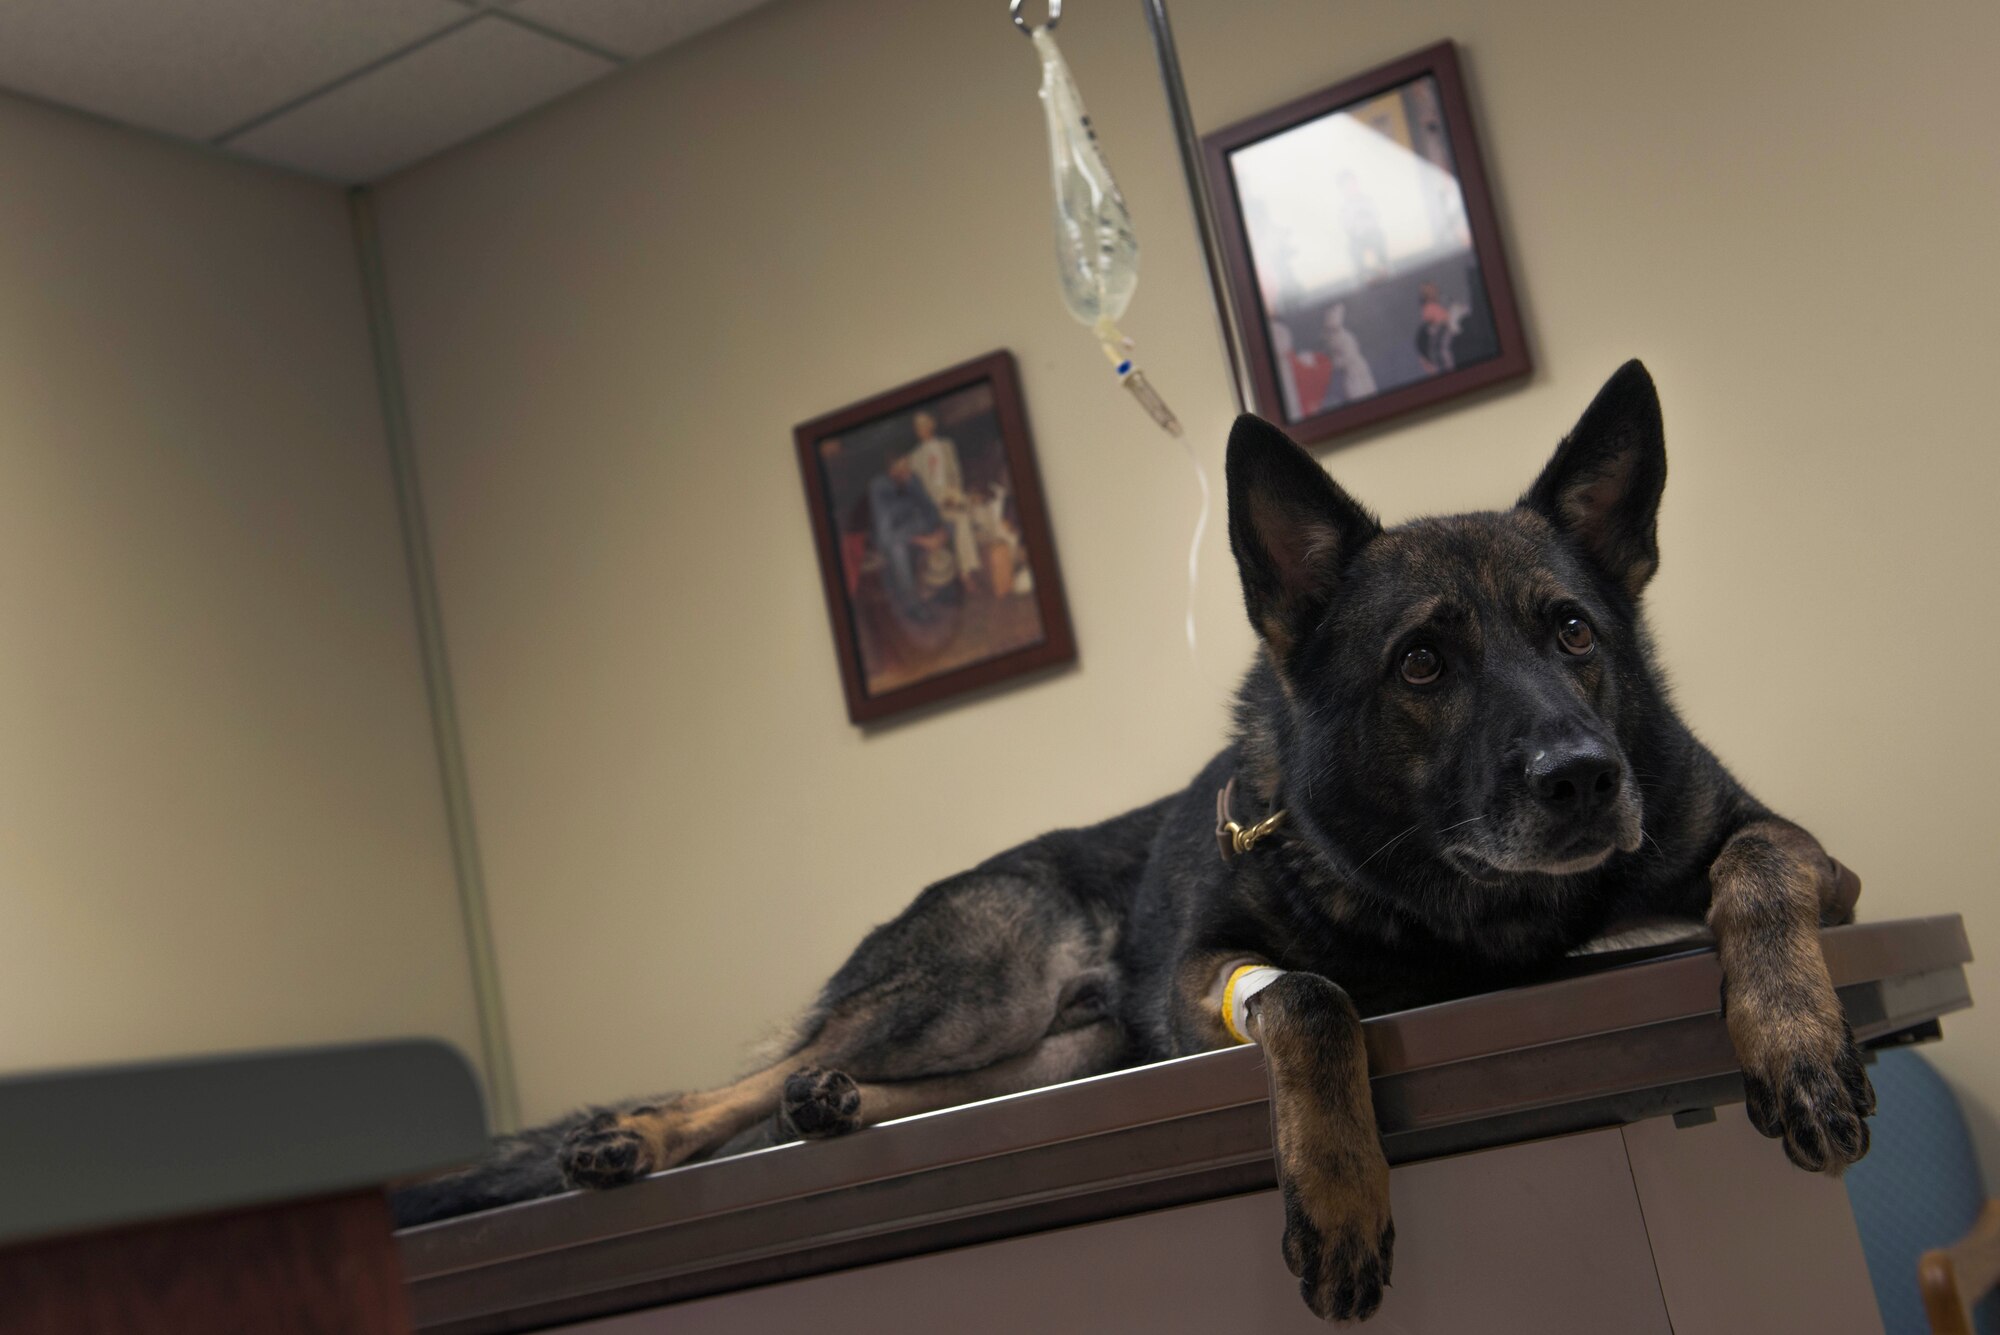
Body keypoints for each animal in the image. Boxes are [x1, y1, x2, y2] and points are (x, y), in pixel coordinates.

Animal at [394, 365, 1872, 1327]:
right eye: (1422, 663)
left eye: (1572, 632)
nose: (1581, 778)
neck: (1470, 904)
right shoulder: (1205, 973)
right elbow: (1317, 996)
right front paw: (1340, 1193)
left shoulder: (1795, 854)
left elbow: (1753, 882)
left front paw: (1794, 1045)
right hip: (982, 976)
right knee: (759, 1072)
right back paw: (636, 1138)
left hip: (1070, 1040)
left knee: (890, 1081)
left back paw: (836, 1108)